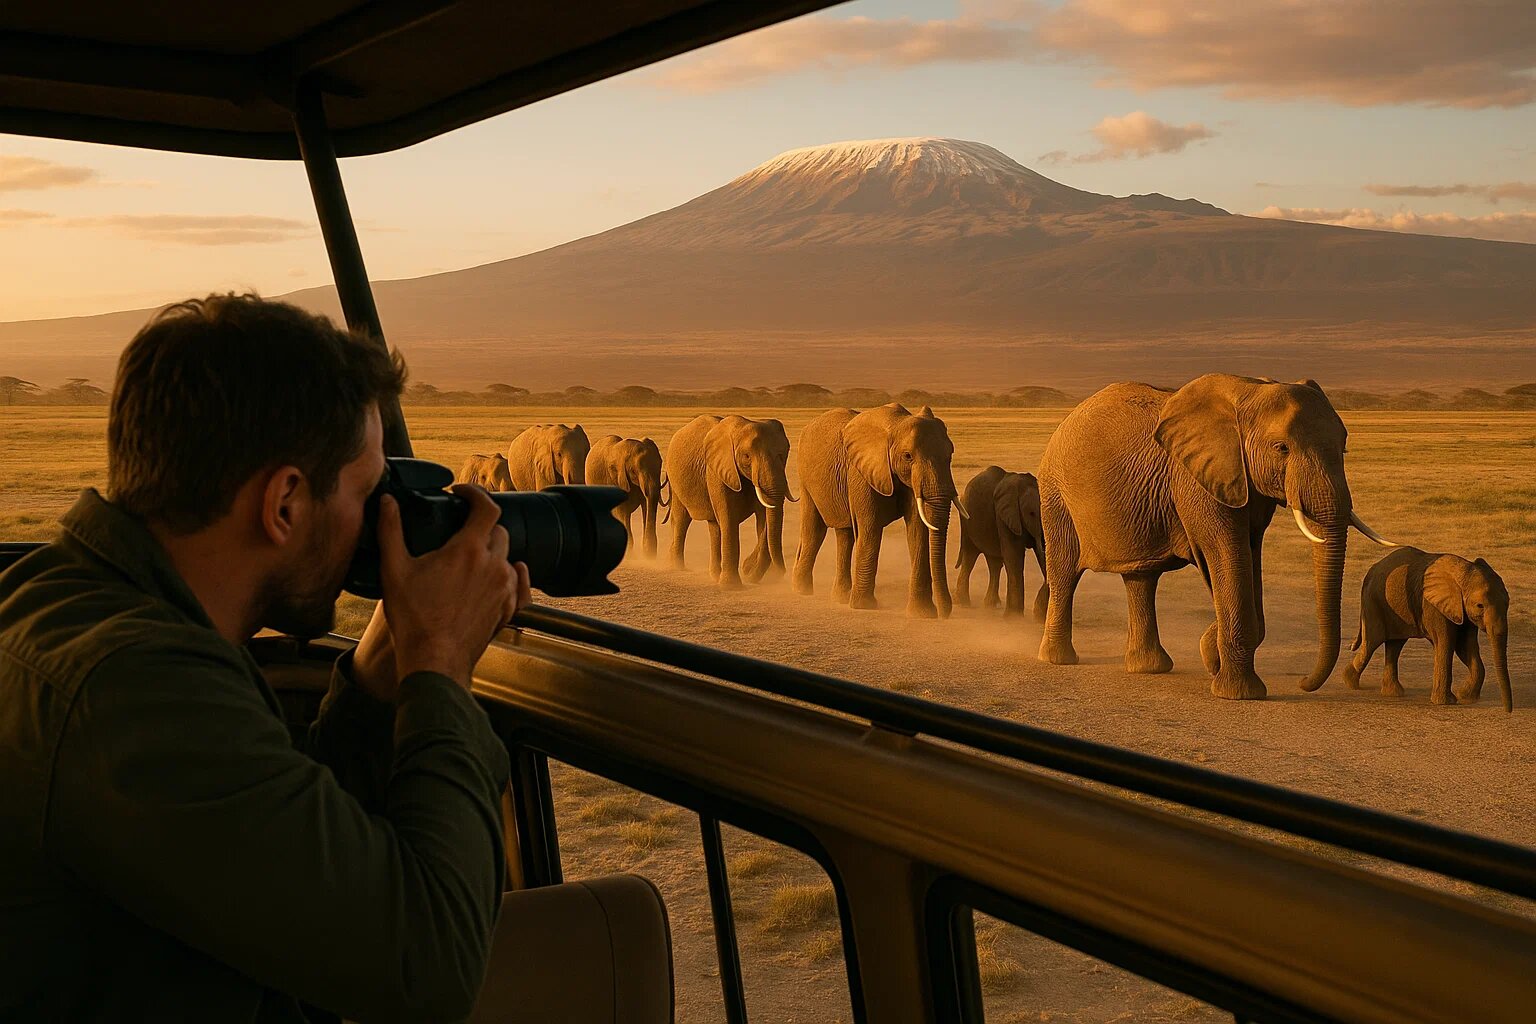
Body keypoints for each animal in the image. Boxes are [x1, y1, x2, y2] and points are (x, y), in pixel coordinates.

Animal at [665, 414, 795, 588]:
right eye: (746, 456)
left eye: (783, 455)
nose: (779, 574)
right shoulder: (718, 470)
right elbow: (729, 518)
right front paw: (732, 586)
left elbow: (763, 517)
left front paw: (749, 571)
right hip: (676, 480)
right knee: (681, 520)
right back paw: (678, 567)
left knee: (714, 526)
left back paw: (715, 576)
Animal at [793, 403, 964, 619]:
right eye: (908, 456)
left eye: (950, 454)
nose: (945, 612)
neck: (896, 426)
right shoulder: (861, 473)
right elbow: (870, 528)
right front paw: (863, 606)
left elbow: (917, 531)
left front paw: (923, 614)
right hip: (804, 477)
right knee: (814, 530)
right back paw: (802, 590)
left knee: (845, 534)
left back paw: (841, 598)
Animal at [956, 466, 1048, 622]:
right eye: (1031, 513)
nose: (1038, 615)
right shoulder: (1004, 515)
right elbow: (1014, 556)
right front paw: (1014, 618)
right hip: (967, 520)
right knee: (970, 557)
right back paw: (964, 604)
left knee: (994, 564)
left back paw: (992, 605)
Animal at [1036, 374, 1395, 700]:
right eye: (1282, 448)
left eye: (1344, 447)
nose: (1304, 683)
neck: (1250, 392)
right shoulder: (1197, 481)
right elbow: (1225, 554)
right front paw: (1238, 693)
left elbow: (1248, 558)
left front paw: (1211, 656)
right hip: (1055, 494)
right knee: (1064, 573)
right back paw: (1058, 659)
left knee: (1141, 579)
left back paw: (1149, 668)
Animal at [1343, 547, 1512, 711]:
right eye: (1480, 605)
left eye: (1507, 602)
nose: (1508, 710)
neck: (1463, 571)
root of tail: (1371, 569)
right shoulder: (1434, 607)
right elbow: (1446, 644)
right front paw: (1446, 702)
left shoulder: (1462, 611)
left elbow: (1465, 647)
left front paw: (1466, 697)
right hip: (1374, 601)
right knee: (1372, 641)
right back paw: (1350, 681)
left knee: (1395, 644)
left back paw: (1393, 693)